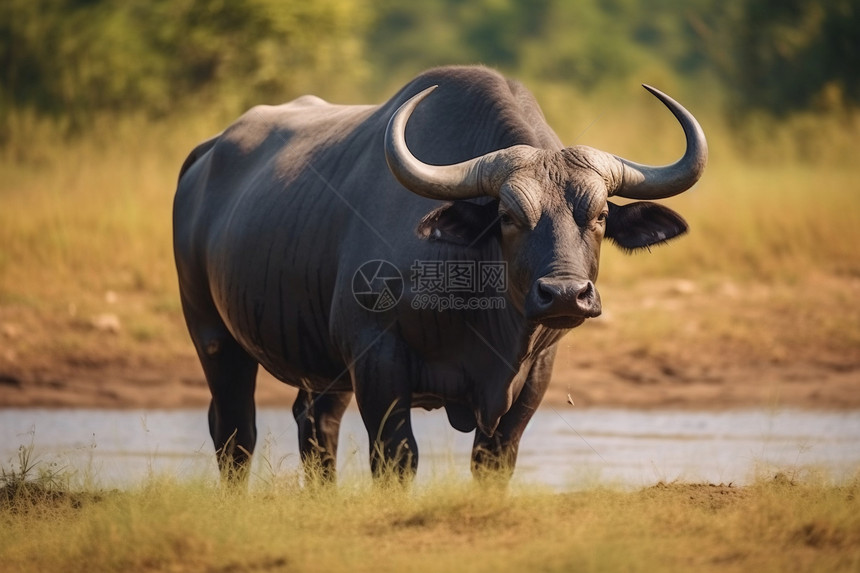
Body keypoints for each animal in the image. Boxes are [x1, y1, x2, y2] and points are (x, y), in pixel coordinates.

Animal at [173, 63, 704, 482]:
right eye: (508, 216)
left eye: (600, 215)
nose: (565, 294)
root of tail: (205, 155)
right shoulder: (376, 361)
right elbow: (397, 459)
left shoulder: (534, 376)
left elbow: (494, 461)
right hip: (213, 335)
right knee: (235, 433)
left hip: (321, 367)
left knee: (315, 426)